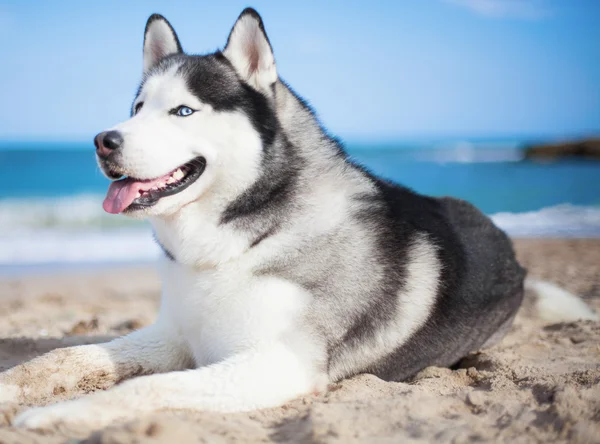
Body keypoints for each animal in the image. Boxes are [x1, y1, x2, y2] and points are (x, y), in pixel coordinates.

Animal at [0, 6, 536, 430]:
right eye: (137, 107)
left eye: (182, 111)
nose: (103, 141)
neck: (234, 244)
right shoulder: (173, 335)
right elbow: (61, 355)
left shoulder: (279, 363)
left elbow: (143, 389)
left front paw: (58, 415)